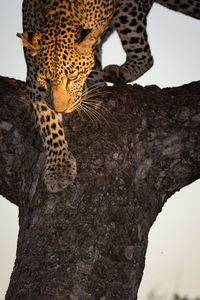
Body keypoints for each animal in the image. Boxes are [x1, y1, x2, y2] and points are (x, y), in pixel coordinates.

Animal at [18, 0, 199, 192]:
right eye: (45, 79)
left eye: (72, 77)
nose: (60, 109)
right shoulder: (35, 83)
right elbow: (49, 125)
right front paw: (59, 169)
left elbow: (92, 58)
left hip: (128, 12)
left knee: (145, 56)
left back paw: (118, 73)